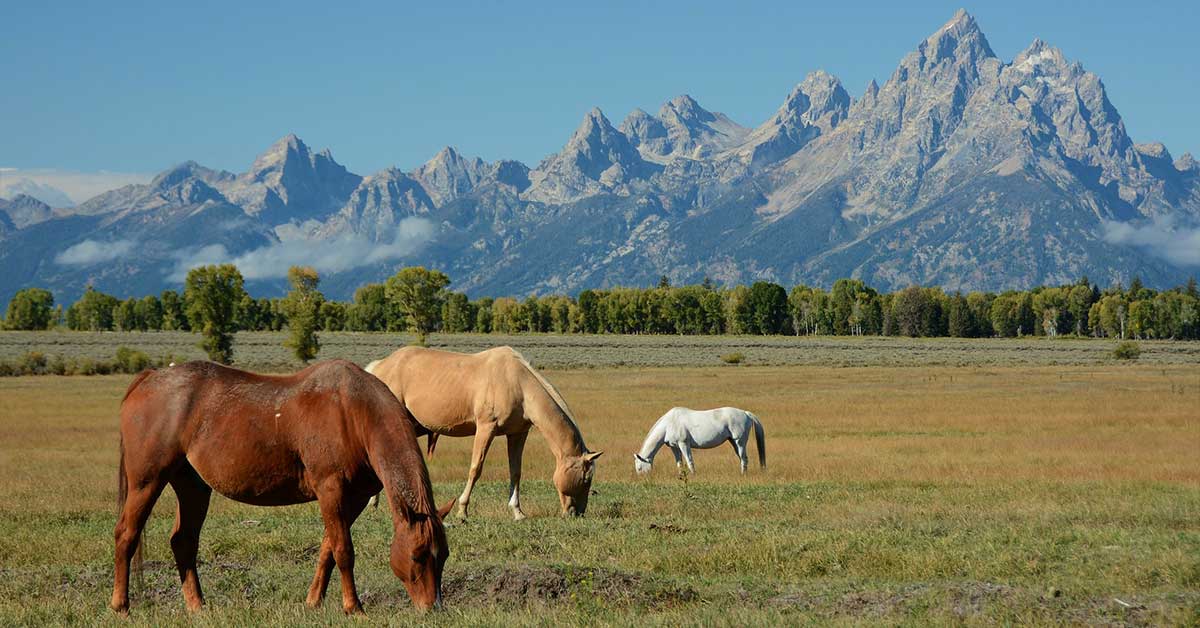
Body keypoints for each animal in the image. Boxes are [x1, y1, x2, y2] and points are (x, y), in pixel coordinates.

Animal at [110, 360, 453, 614]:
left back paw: (197, 606)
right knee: (126, 534)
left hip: (193, 487)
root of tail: (149, 378)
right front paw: (353, 607)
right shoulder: (330, 490)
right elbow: (343, 550)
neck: (354, 413)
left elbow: (328, 549)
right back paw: (121, 605)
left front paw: (314, 601)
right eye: (418, 555)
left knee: (183, 541)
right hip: (147, 482)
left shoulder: (353, 498)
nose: (432, 608)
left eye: (444, 555)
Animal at [362, 343, 600, 521]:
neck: (517, 383)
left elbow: (515, 471)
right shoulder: (486, 428)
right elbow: (476, 468)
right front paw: (462, 510)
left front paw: (517, 512)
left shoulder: (517, 434)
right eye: (585, 479)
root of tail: (380, 365)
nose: (576, 513)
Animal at [633, 410, 763, 475]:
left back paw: (743, 474)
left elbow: (689, 460)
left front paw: (693, 475)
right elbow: (679, 463)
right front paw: (681, 476)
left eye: (639, 467)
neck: (669, 424)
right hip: (733, 442)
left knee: (744, 458)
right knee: (742, 458)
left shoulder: (683, 444)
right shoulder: (674, 447)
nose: (642, 478)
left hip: (739, 442)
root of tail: (746, 413)